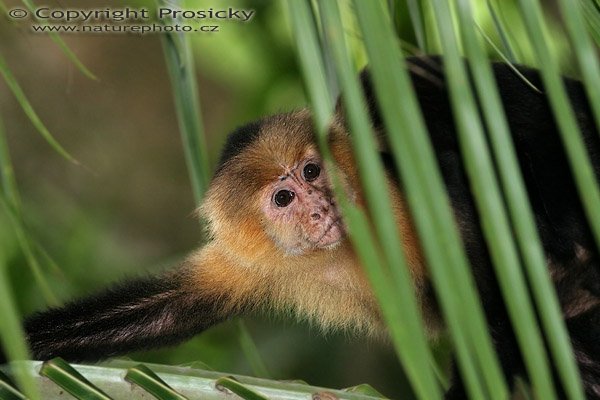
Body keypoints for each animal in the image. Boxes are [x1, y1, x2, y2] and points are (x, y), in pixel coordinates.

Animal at [12, 57, 600, 398]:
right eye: (284, 198)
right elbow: (164, 313)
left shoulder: (398, 191)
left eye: (312, 171)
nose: (319, 206)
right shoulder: (247, 259)